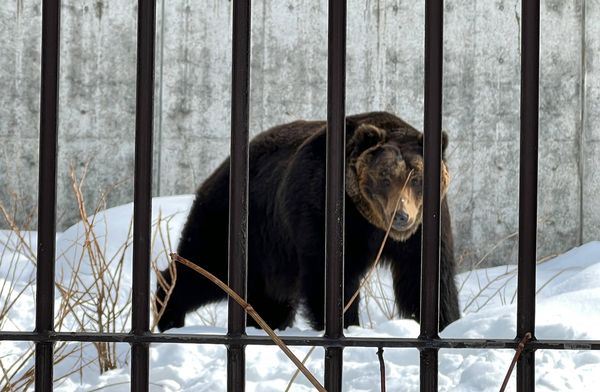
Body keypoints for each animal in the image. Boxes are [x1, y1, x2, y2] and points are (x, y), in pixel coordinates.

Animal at [155, 112, 460, 332]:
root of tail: (222, 167)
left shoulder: (425, 227)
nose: (401, 215)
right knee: (203, 268)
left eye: (417, 179)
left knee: (271, 298)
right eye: (385, 177)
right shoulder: (322, 210)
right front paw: (346, 323)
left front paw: (446, 322)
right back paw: (167, 312)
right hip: (237, 222)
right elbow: (329, 278)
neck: (373, 224)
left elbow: (426, 280)